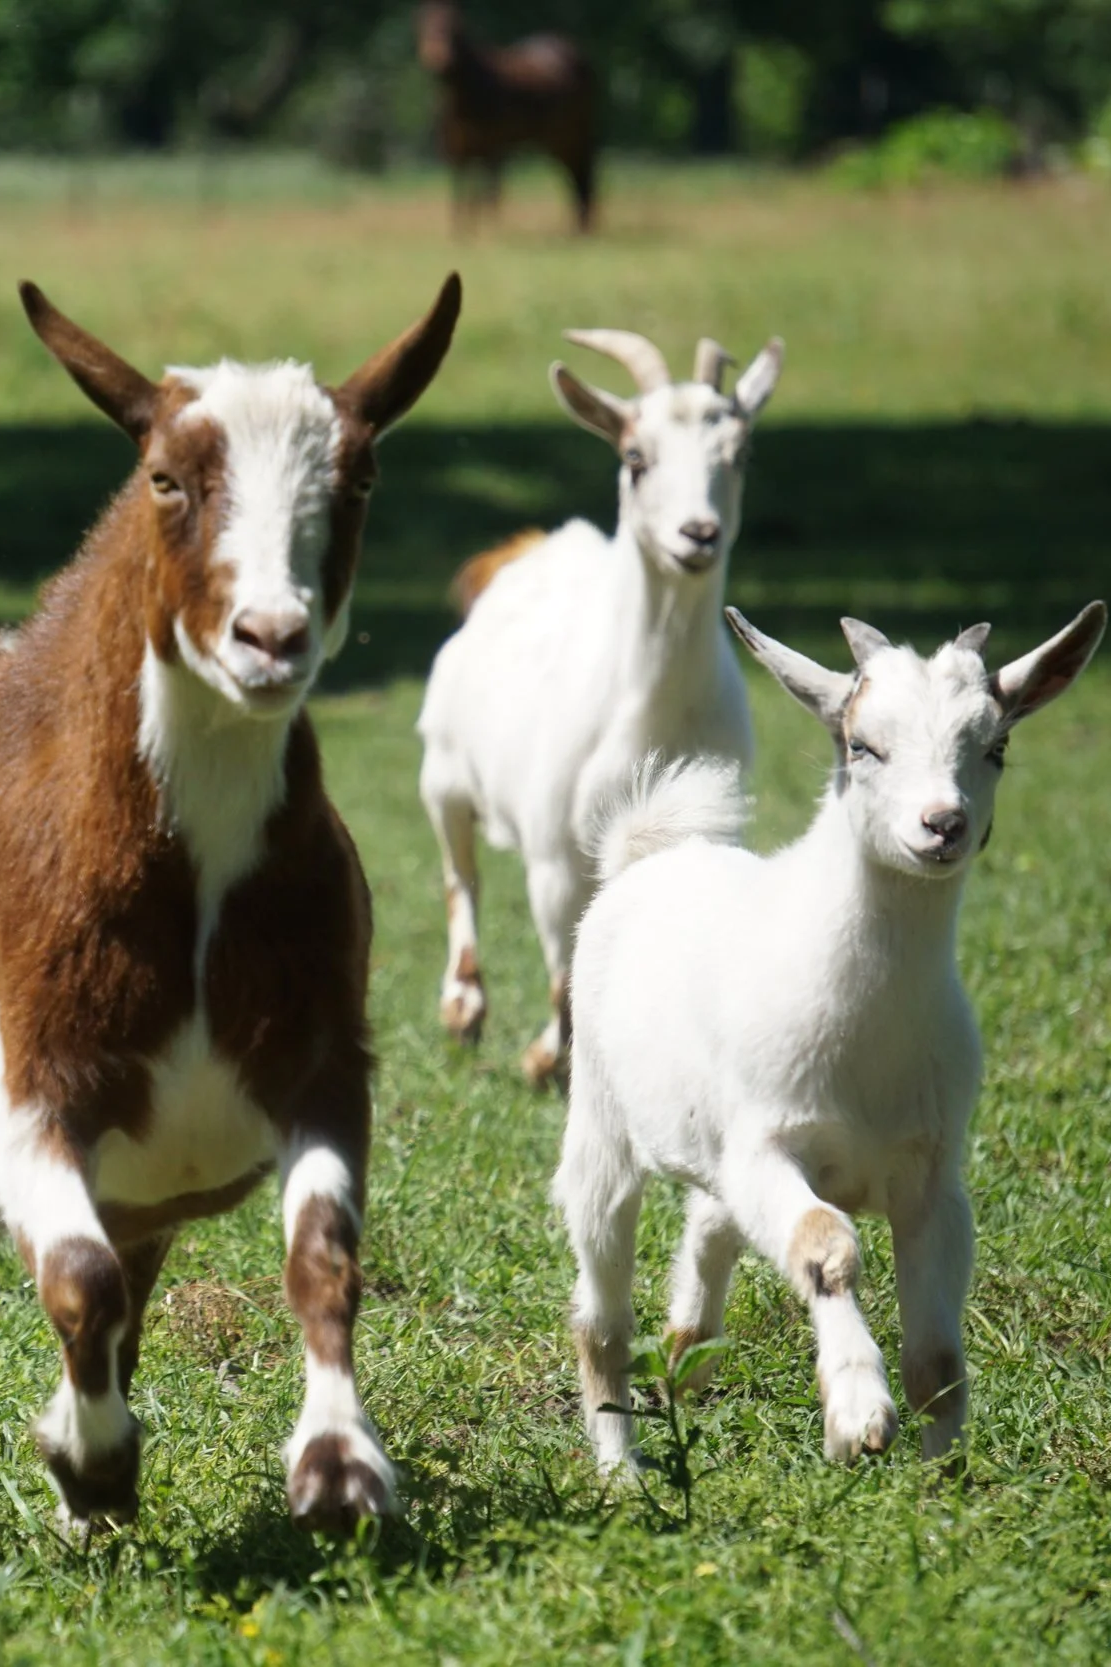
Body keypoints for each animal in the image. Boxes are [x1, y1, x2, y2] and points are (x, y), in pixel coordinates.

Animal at [0, 273, 461, 1530]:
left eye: (359, 478)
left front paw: (340, 1463)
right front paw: (95, 1462)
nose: (270, 637)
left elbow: (323, 1255)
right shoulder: (29, 1067)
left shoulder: (323, 1054)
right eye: (165, 476)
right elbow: (77, 1275)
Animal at [417, 2, 597, 233]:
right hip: (560, 141)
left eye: (454, 29)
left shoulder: (491, 146)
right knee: (575, 174)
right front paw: (461, 229)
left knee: (583, 172)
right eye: (423, 27)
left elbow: (488, 189)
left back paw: (582, 226)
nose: (437, 57)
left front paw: (487, 229)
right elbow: (462, 185)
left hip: (571, 135)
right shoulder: (456, 148)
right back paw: (578, 226)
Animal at [418, 328, 783, 1085]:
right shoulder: (555, 853)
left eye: (740, 454)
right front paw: (544, 1059)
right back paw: (464, 1007)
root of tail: (528, 549)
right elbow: (563, 959)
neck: (650, 714)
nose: (698, 534)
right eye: (635, 458)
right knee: (460, 874)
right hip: (441, 771)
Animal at [555, 602, 1106, 1471]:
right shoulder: (765, 1143)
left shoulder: (932, 1177)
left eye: (995, 747)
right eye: (861, 746)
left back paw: (686, 1353)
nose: (941, 824)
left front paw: (941, 1472)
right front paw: (856, 1412)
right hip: (600, 1122)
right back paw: (619, 1466)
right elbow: (826, 1245)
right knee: (601, 1298)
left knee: (710, 1224)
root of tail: (647, 854)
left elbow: (937, 1358)